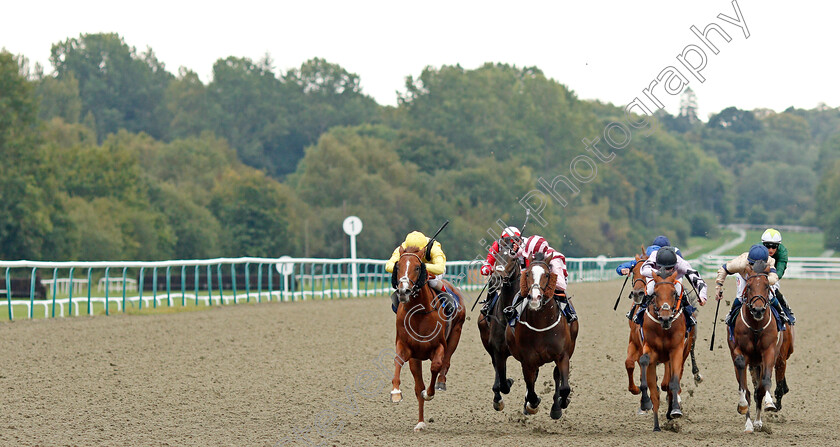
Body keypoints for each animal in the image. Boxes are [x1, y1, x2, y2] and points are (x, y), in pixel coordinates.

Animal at [392, 247, 470, 432]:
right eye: (398, 267)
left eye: (417, 267)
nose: (404, 291)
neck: (419, 312)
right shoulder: (407, 348)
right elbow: (398, 361)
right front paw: (396, 392)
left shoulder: (439, 346)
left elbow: (436, 366)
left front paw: (429, 393)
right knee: (417, 386)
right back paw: (420, 422)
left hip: (456, 332)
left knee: (446, 362)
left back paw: (440, 382)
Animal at [502, 256, 576, 420]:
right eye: (528, 274)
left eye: (547, 275)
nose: (535, 297)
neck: (541, 324)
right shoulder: (527, 360)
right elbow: (531, 391)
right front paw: (532, 405)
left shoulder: (563, 355)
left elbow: (565, 387)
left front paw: (562, 403)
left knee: (556, 376)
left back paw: (556, 408)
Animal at [636, 272, 688, 432]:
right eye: (656, 294)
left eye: (673, 293)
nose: (665, 318)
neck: (663, 329)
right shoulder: (650, 348)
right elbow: (644, 361)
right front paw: (645, 402)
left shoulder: (676, 351)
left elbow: (674, 383)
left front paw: (675, 410)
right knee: (656, 394)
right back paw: (657, 426)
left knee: (669, 386)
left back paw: (671, 412)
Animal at [724, 262, 792, 434]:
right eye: (748, 286)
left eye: (767, 286)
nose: (758, 310)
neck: (755, 326)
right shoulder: (738, 351)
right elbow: (744, 385)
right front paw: (743, 408)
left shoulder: (769, 352)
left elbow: (764, 384)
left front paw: (769, 403)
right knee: (747, 390)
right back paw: (749, 423)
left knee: (758, 390)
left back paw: (758, 421)